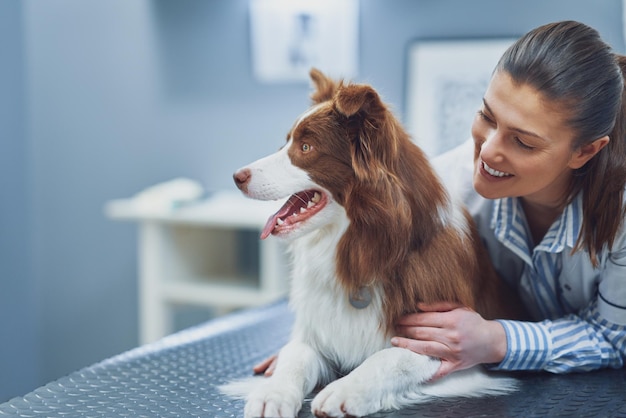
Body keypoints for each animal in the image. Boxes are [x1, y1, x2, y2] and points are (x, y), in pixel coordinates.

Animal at [224, 69, 520, 418]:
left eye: (306, 147)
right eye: (287, 143)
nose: (237, 176)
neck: (365, 249)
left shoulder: (448, 343)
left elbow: (390, 357)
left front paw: (345, 389)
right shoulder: (315, 332)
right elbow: (294, 358)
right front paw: (272, 392)